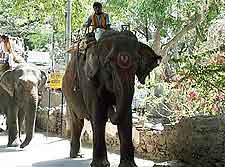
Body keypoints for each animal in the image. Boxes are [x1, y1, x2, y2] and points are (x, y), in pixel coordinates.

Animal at [62, 30, 162, 167]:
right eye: (108, 63)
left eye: (137, 62)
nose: (110, 105)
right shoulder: (88, 81)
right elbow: (98, 116)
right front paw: (101, 165)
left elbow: (126, 118)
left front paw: (129, 165)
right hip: (68, 96)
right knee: (77, 122)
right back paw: (75, 155)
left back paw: (79, 155)